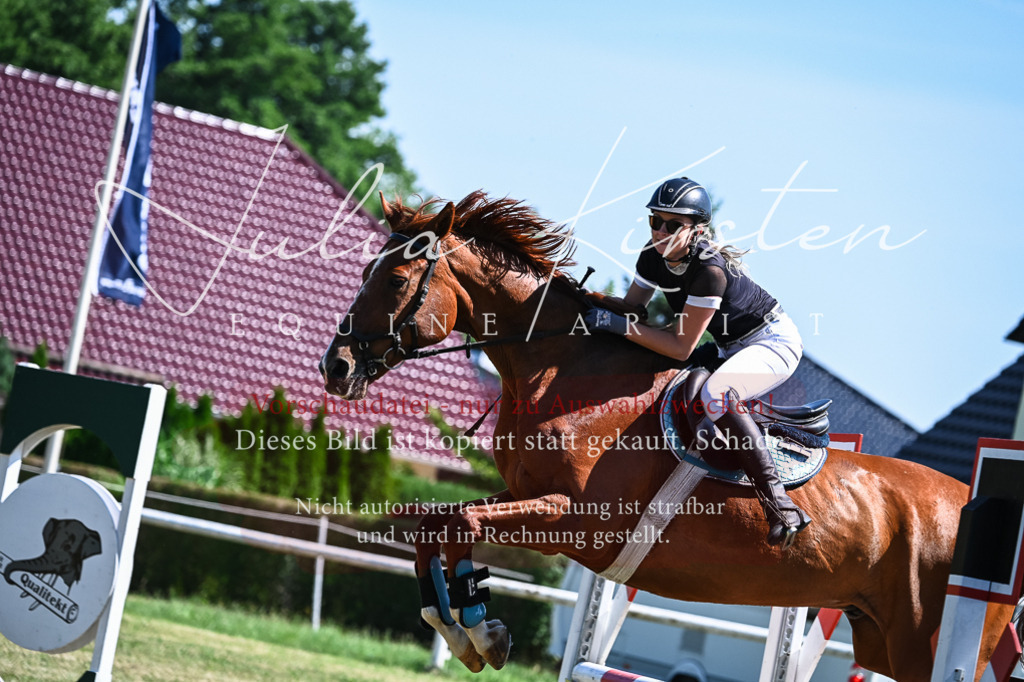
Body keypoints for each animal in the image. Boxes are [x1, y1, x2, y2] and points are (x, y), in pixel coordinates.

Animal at [319, 191, 1012, 681]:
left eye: (396, 281)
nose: (337, 367)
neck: (556, 368)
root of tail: (968, 501)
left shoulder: (579, 520)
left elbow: (458, 523)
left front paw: (479, 632)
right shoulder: (526, 500)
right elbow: (435, 524)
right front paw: (467, 629)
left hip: (924, 642)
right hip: (882, 638)